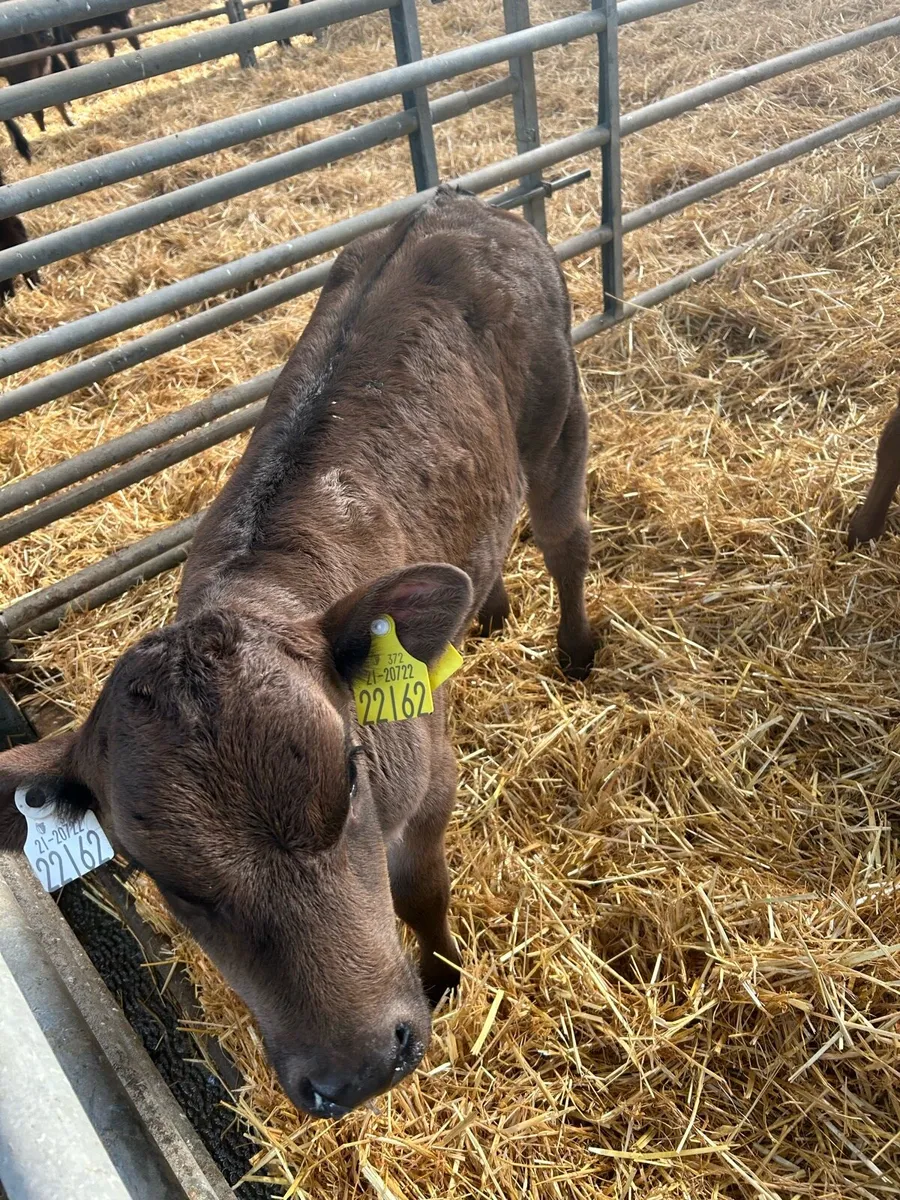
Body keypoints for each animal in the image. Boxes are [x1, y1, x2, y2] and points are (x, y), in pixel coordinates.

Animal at [0, 186, 596, 1118]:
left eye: (349, 777)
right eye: (163, 876)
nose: (358, 1066)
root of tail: (453, 202)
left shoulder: (429, 780)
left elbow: (420, 890)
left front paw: (445, 976)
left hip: (558, 413)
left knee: (567, 539)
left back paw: (576, 647)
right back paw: (490, 611)